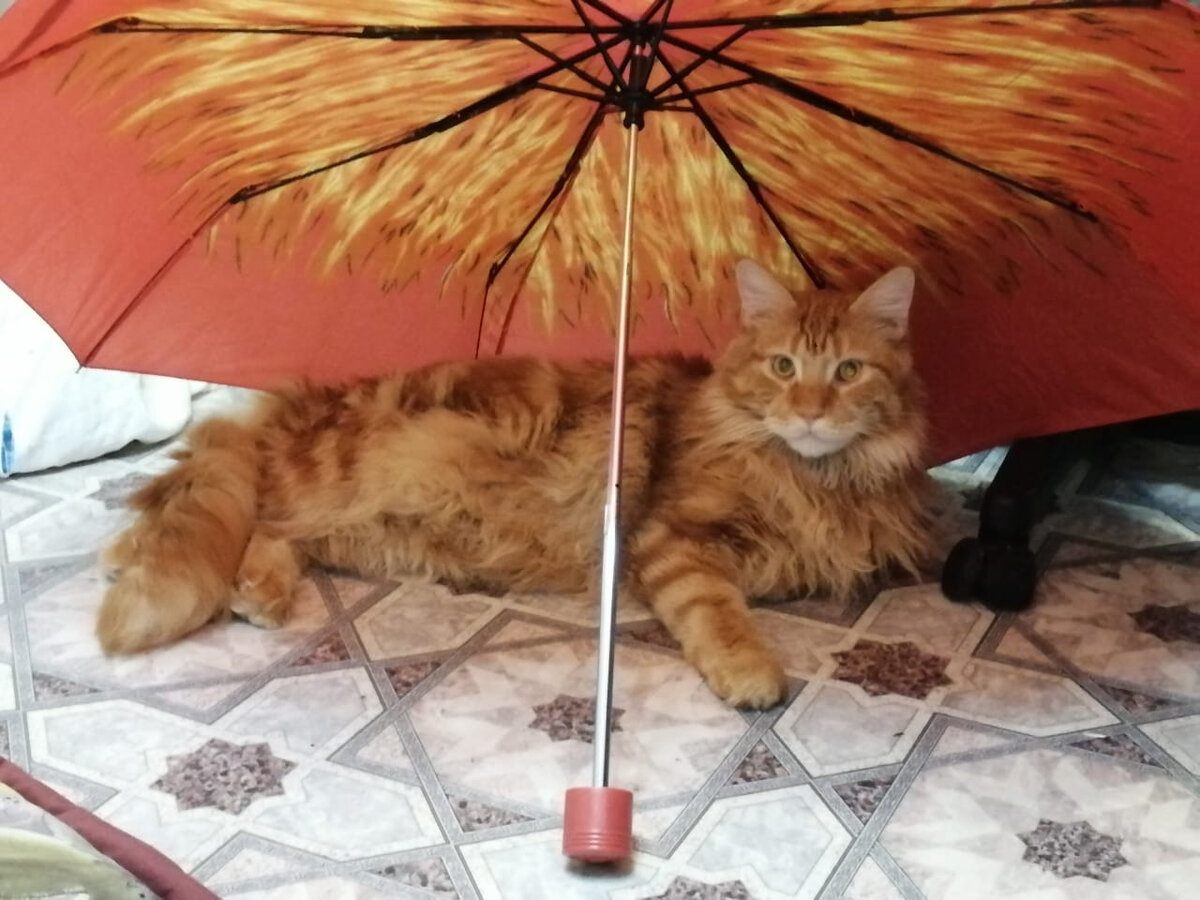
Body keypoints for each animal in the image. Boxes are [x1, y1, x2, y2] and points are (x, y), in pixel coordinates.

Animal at [98, 259, 931, 709]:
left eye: (848, 372)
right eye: (784, 367)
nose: (811, 412)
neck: (812, 474)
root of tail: (298, 403)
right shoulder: (670, 537)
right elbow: (718, 614)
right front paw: (749, 672)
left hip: (376, 529)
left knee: (270, 529)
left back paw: (255, 592)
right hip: (342, 474)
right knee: (220, 496)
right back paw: (130, 555)